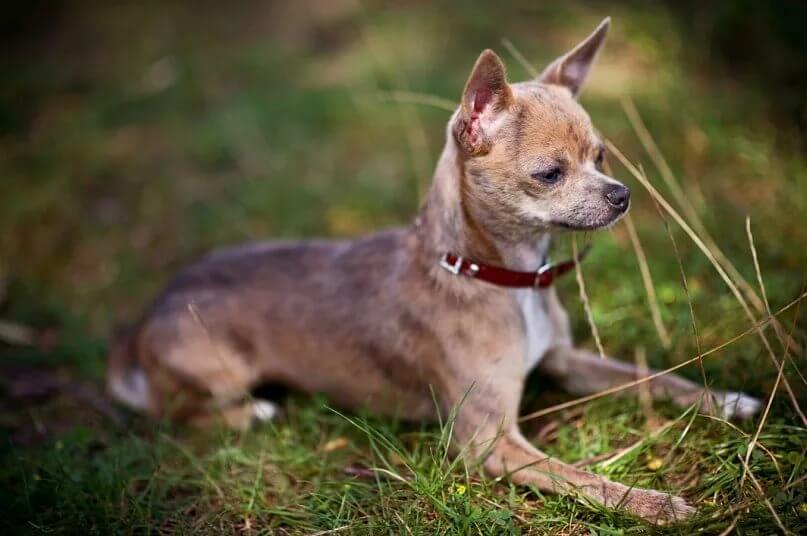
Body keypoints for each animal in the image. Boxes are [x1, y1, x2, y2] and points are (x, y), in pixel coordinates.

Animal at [110, 19, 760, 524]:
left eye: (601, 158)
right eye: (551, 174)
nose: (622, 195)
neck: (495, 275)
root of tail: (142, 322)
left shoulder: (565, 361)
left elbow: (652, 378)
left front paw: (726, 400)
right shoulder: (491, 443)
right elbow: (585, 478)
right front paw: (655, 503)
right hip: (219, 370)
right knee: (177, 413)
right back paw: (254, 412)